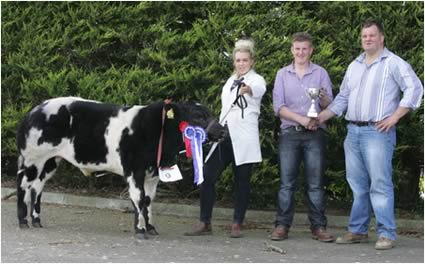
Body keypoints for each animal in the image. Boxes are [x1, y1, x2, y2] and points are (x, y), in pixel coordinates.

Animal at [15, 97, 225, 239]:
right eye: (198, 116)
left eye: (210, 113)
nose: (222, 131)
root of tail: (35, 110)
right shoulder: (134, 170)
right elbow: (138, 198)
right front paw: (140, 230)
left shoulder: (152, 174)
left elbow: (148, 200)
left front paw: (150, 228)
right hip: (33, 159)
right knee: (23, 186)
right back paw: (23, 221)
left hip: (50, 161)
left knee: (37, 188)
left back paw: (36, 220)